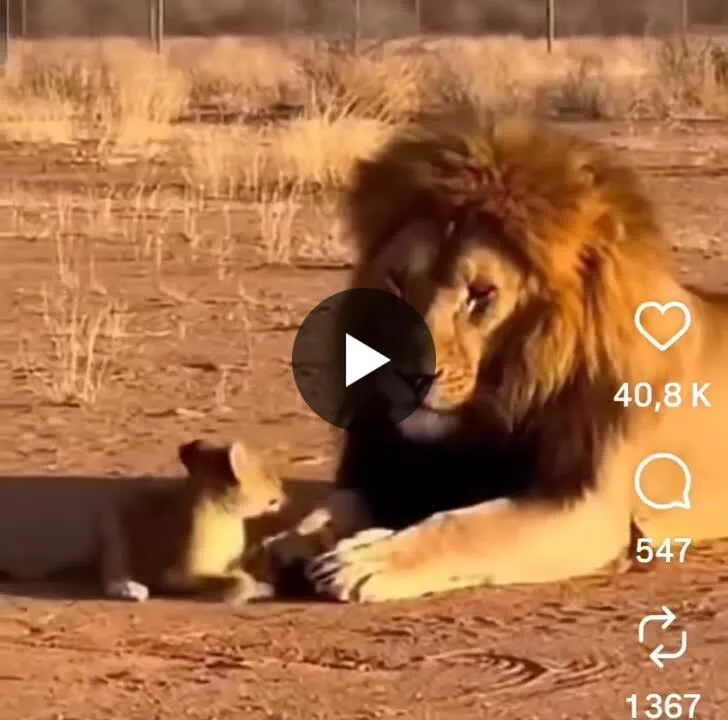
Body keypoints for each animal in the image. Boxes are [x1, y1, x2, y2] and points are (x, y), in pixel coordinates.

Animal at [0, 439, 285, 604]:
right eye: (269, 476)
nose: (283, 493)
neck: (228, 519)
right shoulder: (176, 574)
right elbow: (237, 581)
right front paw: (247, 587)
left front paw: (262, 586)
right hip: (112, 524)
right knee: (111, 574)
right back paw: (129, 588)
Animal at [264, 112, 728, 603]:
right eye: (397, 281)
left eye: (480, 294)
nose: (407, 375)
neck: (507, 397)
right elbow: (337, 503)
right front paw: (294, 542)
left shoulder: (589, 506)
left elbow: (464, 525)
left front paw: (364, 559)